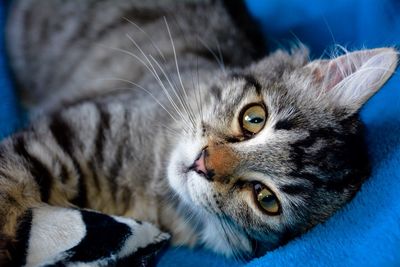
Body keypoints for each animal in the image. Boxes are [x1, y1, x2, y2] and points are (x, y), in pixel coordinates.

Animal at [1, 0, 398, 266]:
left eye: (265, 199)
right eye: (254, 118)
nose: (203, 163)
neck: (146, 188)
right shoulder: (65, 133)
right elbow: (8, 185)